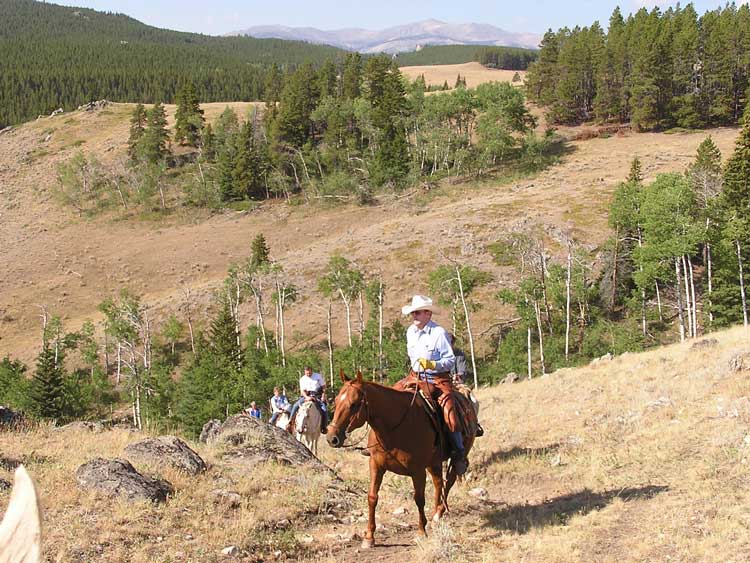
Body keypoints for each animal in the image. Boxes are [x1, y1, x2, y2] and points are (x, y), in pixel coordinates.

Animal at [324, 372, 476, 548]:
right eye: (336, 401)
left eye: (354, 404)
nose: (332, 438)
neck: (393, 429)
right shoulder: (376, 465)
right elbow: (372, 497)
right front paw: (369, 537)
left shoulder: (418, 471)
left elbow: (419, 499)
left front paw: (421, 532)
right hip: (434, 462)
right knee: (439, 483)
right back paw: (435, 516)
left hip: (456, 454)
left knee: (449, 480)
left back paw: (438, 513)